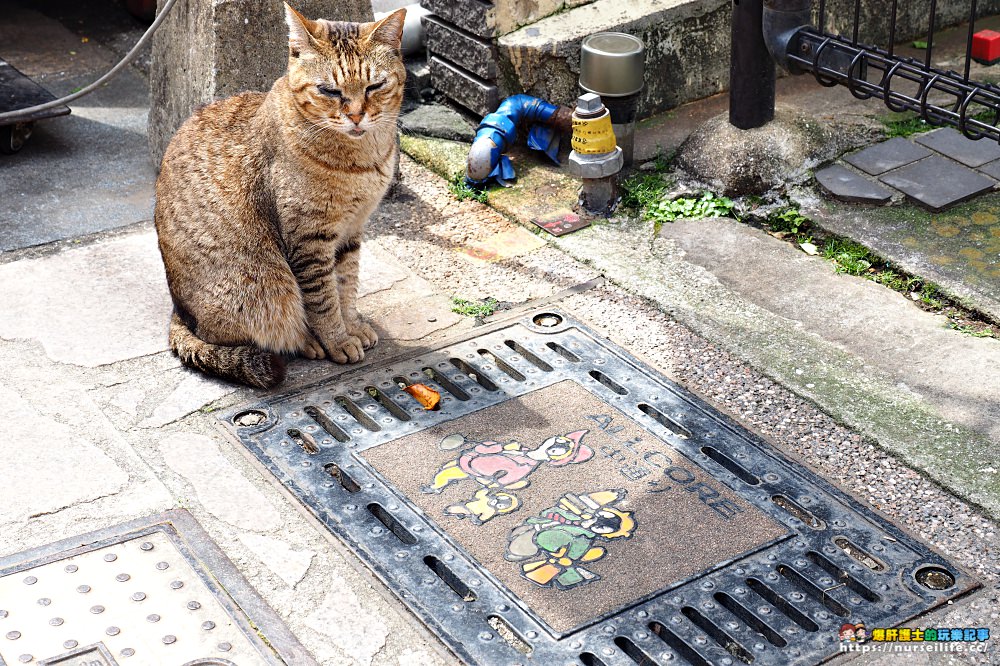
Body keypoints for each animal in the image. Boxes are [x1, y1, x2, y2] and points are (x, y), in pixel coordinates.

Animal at [152, 5, 402, 386]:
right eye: (329, 90)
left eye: (375, 85)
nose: (356, 115)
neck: (362, 161)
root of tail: (179, 313)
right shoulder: (309, 239)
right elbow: (323, 299)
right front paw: (337, 339)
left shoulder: (351, 231)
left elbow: (346, 284)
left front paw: (352, 324)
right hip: (264, 284)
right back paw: (308, 341)